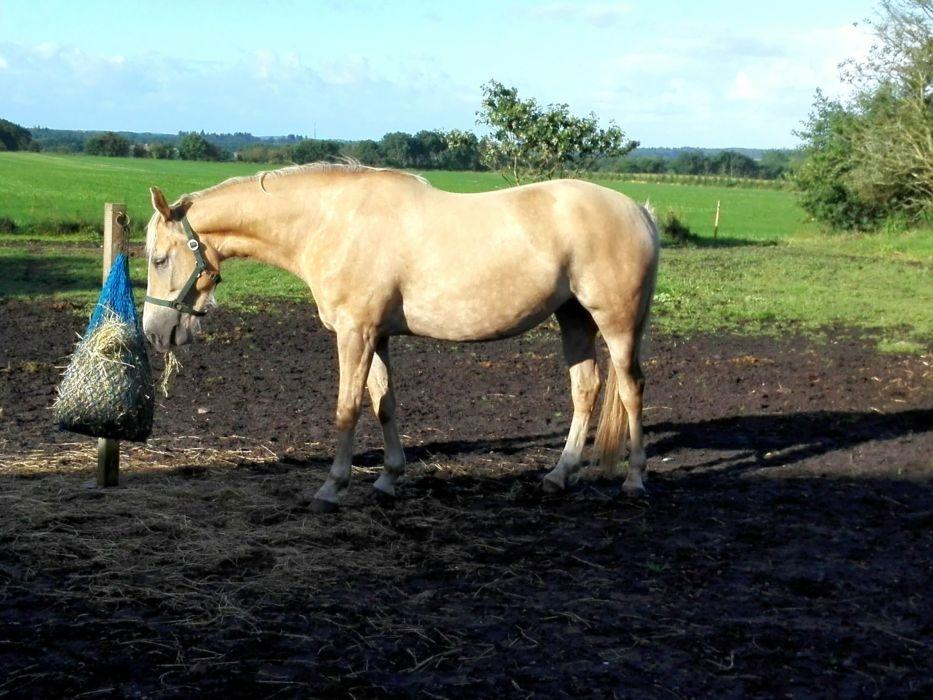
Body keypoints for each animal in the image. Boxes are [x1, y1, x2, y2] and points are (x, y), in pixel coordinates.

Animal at [142, 164, 660, 516]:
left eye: (159, 259)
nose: (155, 332)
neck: (332, 223)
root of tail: (639, 210)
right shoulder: (377, 336)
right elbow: (383, 402)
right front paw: (388, 479)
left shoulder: (355, 333)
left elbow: (347, 408)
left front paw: (332, 488)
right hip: (574, 319)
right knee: (586, 389)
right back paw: (559, 474)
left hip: (615, 323)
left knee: (631, 390)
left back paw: (635, 480)